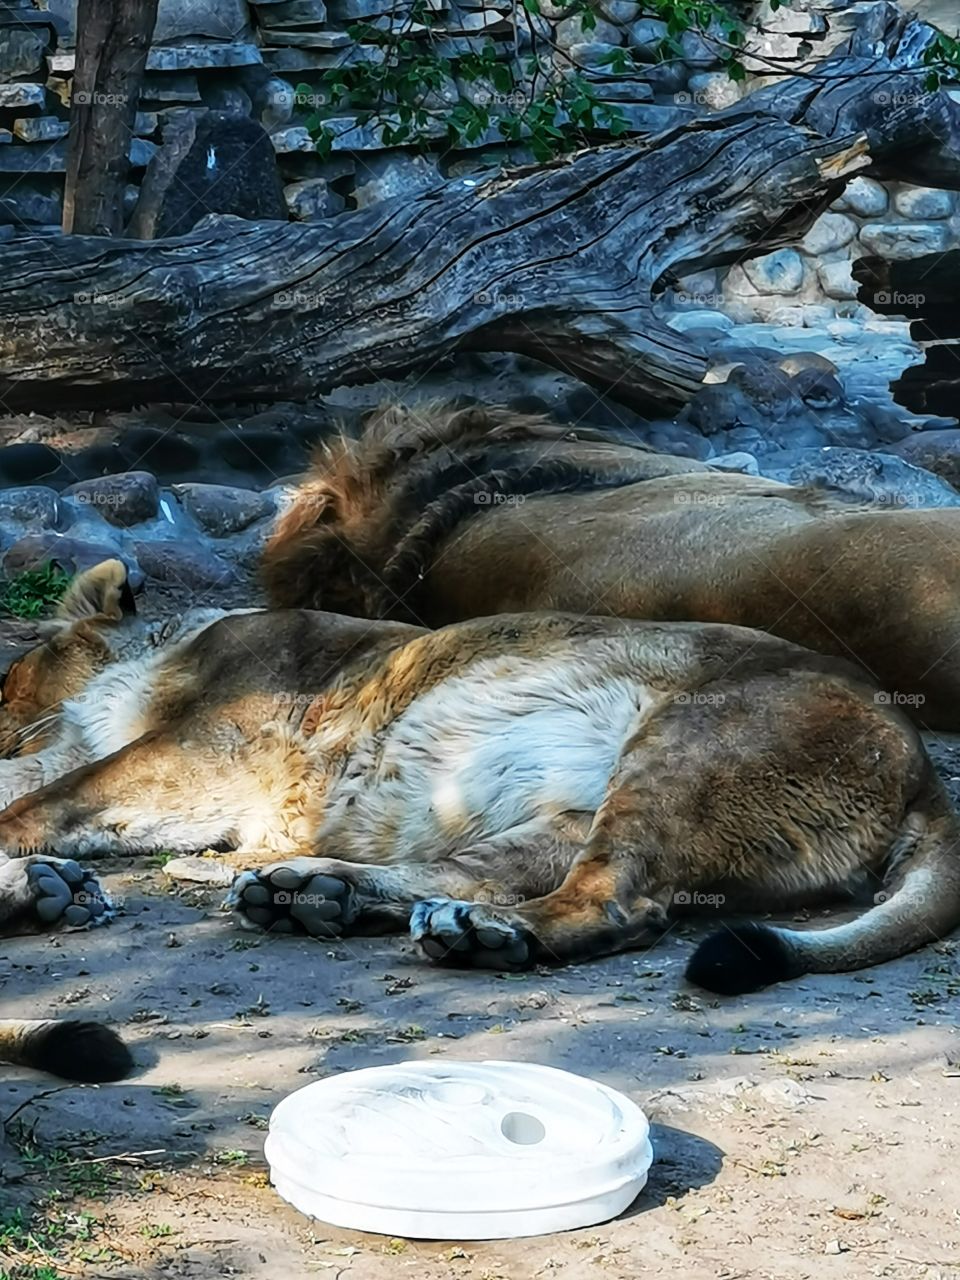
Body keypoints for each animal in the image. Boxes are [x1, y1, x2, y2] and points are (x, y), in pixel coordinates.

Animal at [0, 560, 958, 996]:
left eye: (6, 674)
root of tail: (924, 768)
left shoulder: (200, 749)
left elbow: (48, 795)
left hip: (684, 745)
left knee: (619, 904)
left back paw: (480, 937)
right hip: (559, 817)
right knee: (467, 876)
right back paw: (316, 894)